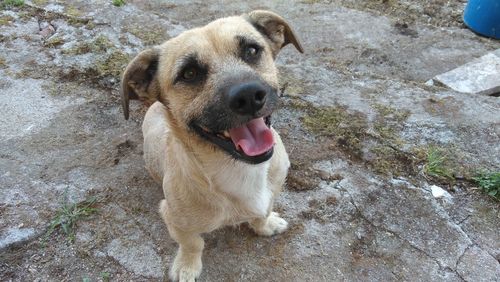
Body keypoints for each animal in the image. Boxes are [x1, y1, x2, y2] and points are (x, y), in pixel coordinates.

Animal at [120, 9, 300, 282]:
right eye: (189, 73)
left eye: (252, 50)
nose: (249, 96)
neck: (240, 169)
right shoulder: (173, 218)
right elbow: (193, 244)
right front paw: (187, 266)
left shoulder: (273, 189)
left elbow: (263, 211)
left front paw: (265, 224)